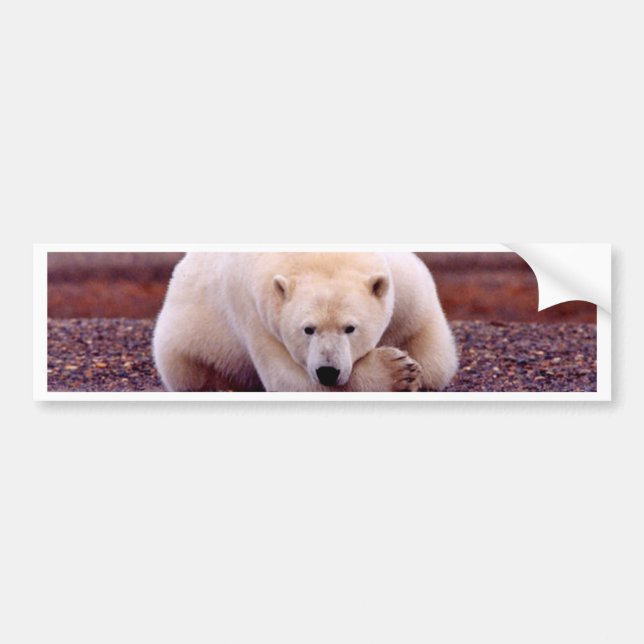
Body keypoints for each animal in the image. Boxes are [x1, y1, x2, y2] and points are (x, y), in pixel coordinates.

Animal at [152, 252, 458, 392]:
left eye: (350, 328)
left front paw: (415, 368)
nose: (328, 371)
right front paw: (398, 371)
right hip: (188, 344)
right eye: (308, 329)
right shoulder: (257, 314)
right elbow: (291, 380)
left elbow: (433, 350)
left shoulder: (403, 283)